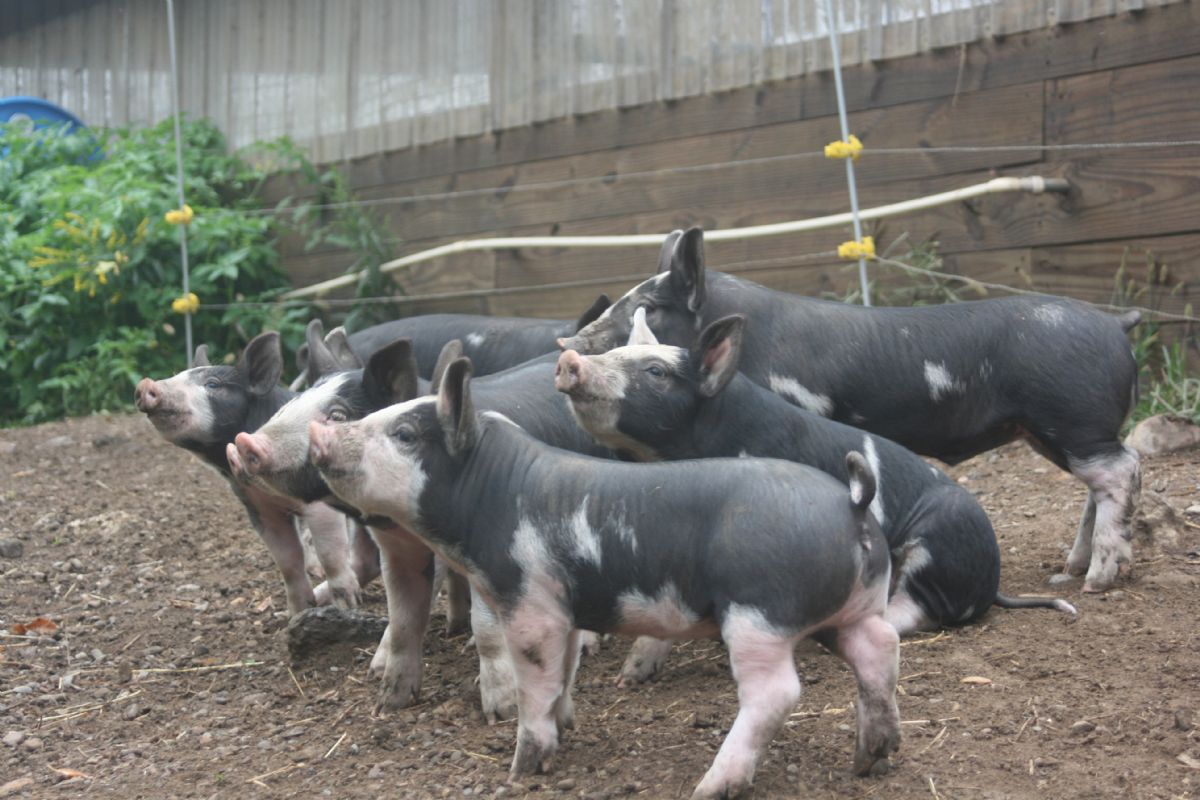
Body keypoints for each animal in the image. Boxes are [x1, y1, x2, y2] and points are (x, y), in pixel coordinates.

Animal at [133, 332, 374, 616]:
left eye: (213, 384)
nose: (145, 384)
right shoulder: (257, 505)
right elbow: (288, 562)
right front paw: (297, 614)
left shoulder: (319, 500)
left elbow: (330, 551)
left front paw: (346, 605)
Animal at [308, 357, 901, 798]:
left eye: (405, 434)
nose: (318, 431)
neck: (495, 492)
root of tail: (851, 505)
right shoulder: (566, 606)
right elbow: (565, 672)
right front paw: (565, 728)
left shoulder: (531, 606)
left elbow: (535, 679)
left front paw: (522, 769)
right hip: (851, 608)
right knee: (880, 648)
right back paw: (871, 759)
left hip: (760, 614)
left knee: (777, 693)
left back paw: (710, 787)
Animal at [556, 309, 1075, 683]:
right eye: (617, 351)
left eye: (656, 371)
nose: (569, 362)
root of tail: (993, 584)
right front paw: (631, 677)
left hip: (941, 534)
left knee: (915, 610)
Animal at [559, 228, 1142, 593]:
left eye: (649, 307)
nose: (570, 343)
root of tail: (1116, 323)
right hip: (1053, 430)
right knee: (1104, 480)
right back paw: (1067, 572)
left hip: (1073, 417)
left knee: (1122, 471)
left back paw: (1096, 582)